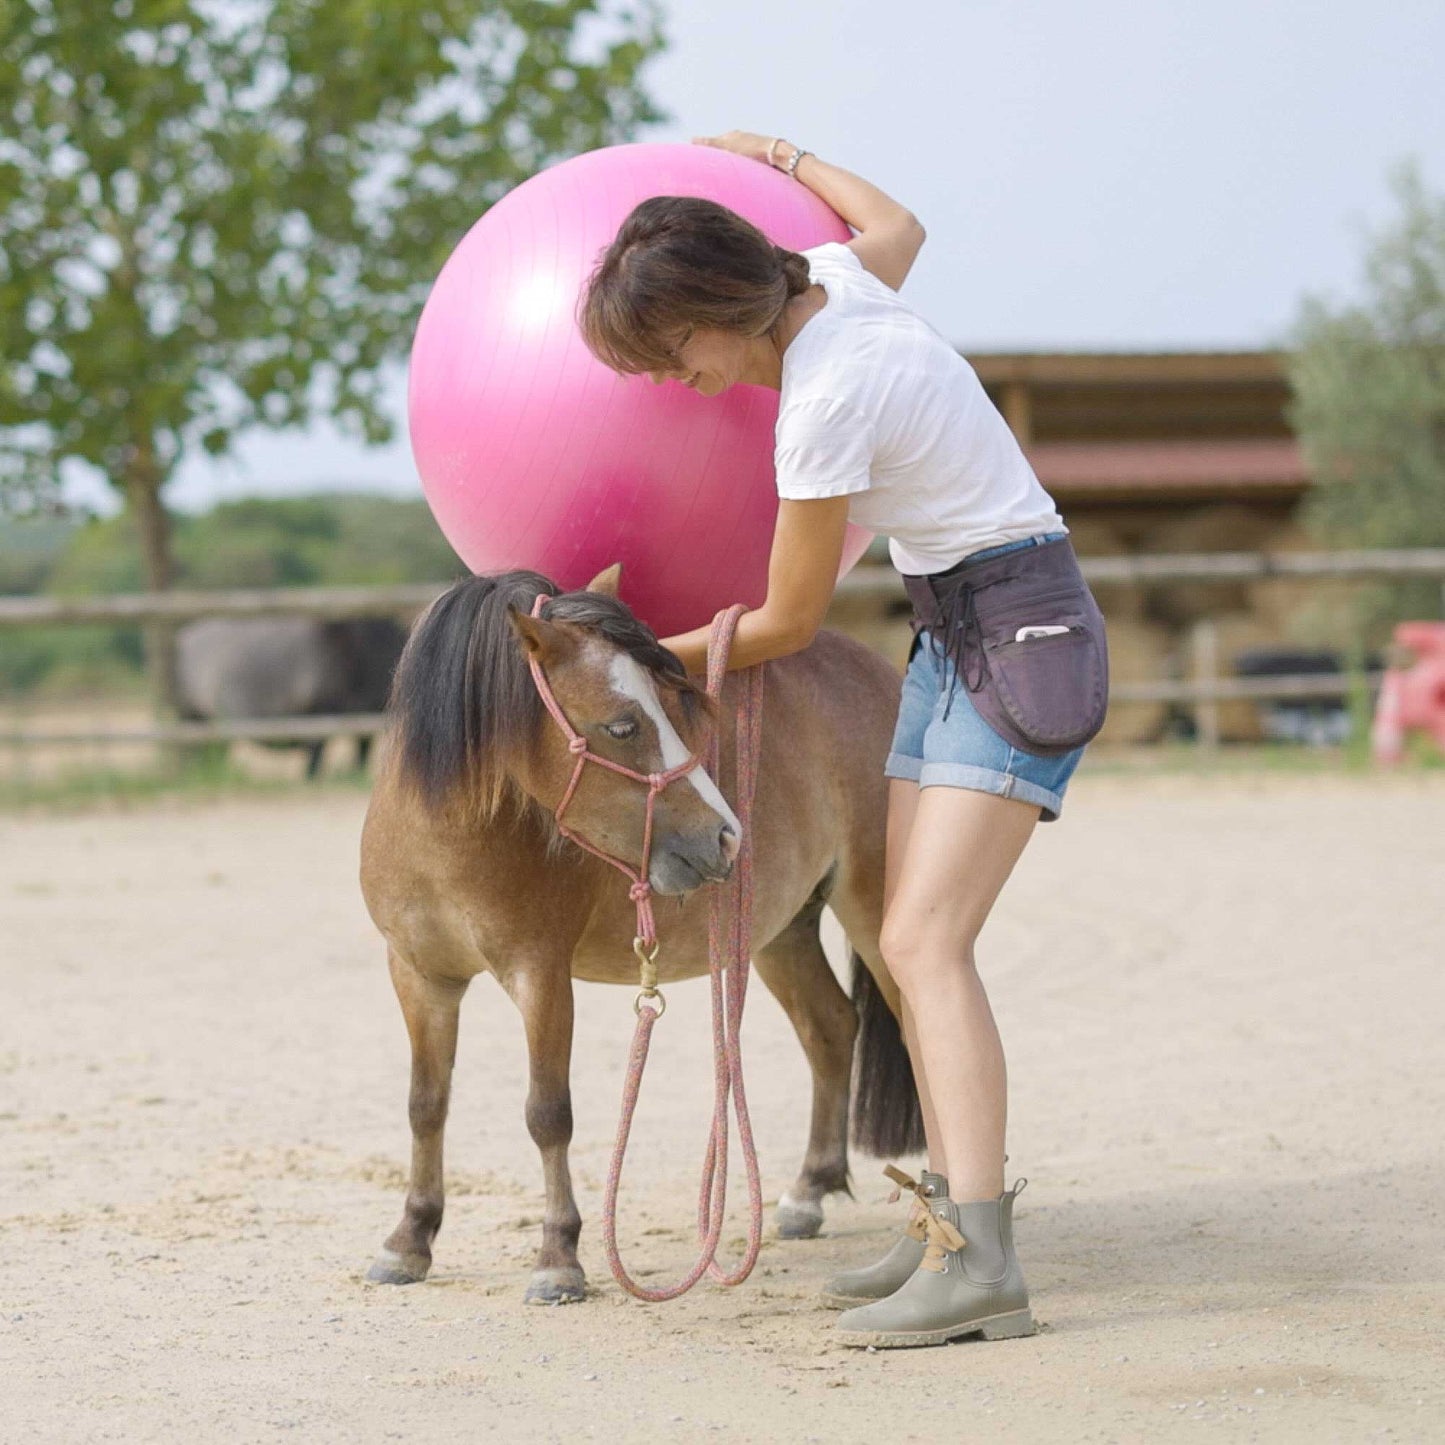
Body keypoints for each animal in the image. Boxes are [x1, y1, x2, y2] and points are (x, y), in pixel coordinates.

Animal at [361, 569, 924, 1306]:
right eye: (623, 726)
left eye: (674, 707)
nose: (725, 836)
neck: (445, 838)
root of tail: (878, 672)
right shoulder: (417, 974)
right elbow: (424, 1104)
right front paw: (409, 1240)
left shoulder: (540, 975)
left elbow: (548, 1112)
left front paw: (558, 1257)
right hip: (776, 930)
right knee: (829, 1026)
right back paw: (807, 1193)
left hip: (874, 910)